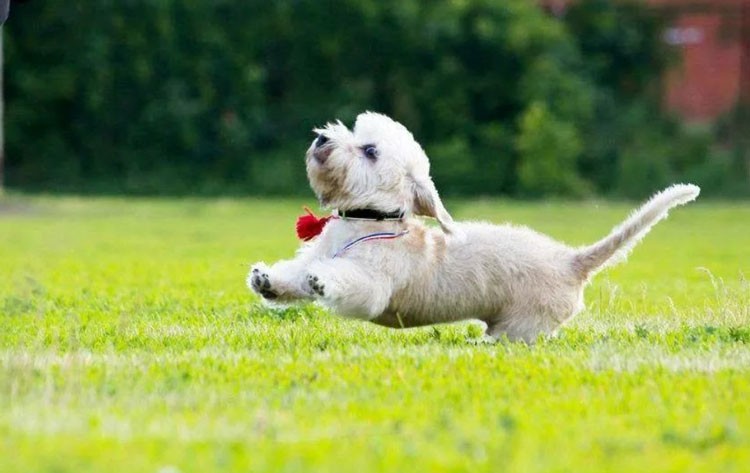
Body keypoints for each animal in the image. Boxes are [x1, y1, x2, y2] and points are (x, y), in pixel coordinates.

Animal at [250, 111, 704, 340]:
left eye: (370, 150)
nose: (321, 139)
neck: (364, 221)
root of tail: (572, 262)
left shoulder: (374, 287)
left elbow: (345, 282)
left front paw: (322, 280)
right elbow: (294, 275)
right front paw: (267, 280)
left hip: (522, 326)